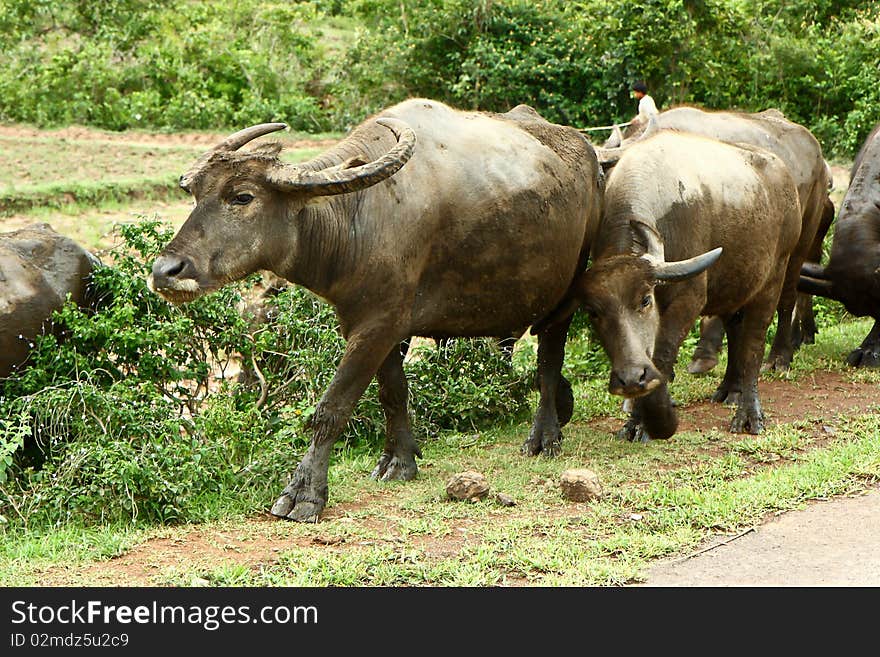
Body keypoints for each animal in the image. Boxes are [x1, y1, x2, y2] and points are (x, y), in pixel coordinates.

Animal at [151, 98, 604, 524]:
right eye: (196, 195)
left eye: (242, 196)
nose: (165, 271)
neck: (360, 214)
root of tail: (590, 156)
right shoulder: (373, 321)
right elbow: (392, 392)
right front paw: (399, 460)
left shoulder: (378, 325)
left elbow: (332, 408)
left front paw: (304, 494)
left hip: (566, 290)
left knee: (549, 359)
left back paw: (545, 436)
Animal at [536, 129, 804, 440]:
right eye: (593, 313)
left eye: (645, 300)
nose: (631, 378)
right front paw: (634, 423)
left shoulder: (689, 298)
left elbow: (662, 355)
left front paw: (647, 422)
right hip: (733, 284)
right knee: (735, 328)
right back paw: (730, 390)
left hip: (777, 273)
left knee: (755, 341)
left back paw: (749, 413)